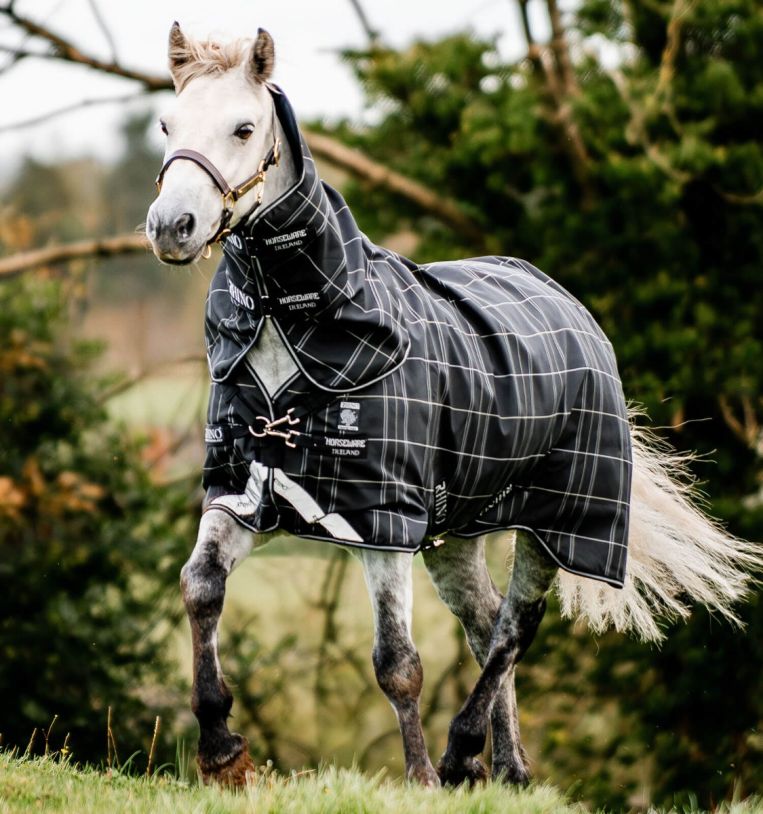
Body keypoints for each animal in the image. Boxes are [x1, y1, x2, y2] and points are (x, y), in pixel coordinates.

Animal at [145, 24, 762, 788]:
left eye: (244, 128)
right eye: (167, 125)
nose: (171, 226)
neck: (302, 324)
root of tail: (571, 307)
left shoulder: (382, 522)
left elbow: (397, 663)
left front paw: (417, 778)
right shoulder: (244, 492)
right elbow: (200, 586)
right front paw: (220, 748)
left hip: (554, 522)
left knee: (513, 629)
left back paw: (463, 751)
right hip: (457, 530)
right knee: (485, 621)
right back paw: (508, 767)